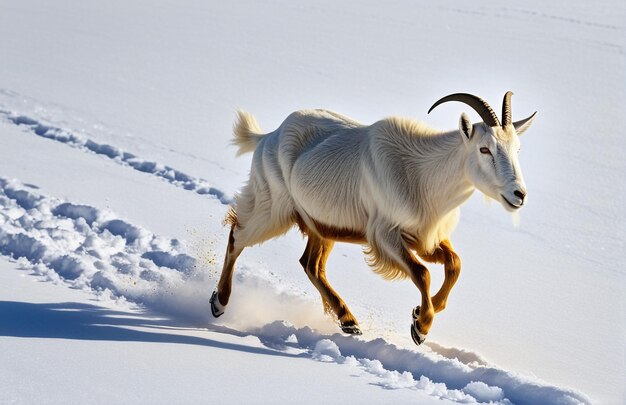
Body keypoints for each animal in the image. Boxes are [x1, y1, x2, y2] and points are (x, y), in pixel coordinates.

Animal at [210, 92, 532, 344]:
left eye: (517, 148)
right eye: (484, 148)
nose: (519, 194)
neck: (422, 174)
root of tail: (267, 138)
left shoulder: (426, 237)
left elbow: (455, 264)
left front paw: (423, 313)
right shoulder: (384, 235)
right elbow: (422, 273)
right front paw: (420, 328)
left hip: (320, 226)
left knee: (311, 265)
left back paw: (348, 322)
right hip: (273, 210)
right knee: (238, 235)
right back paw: (219, 303)